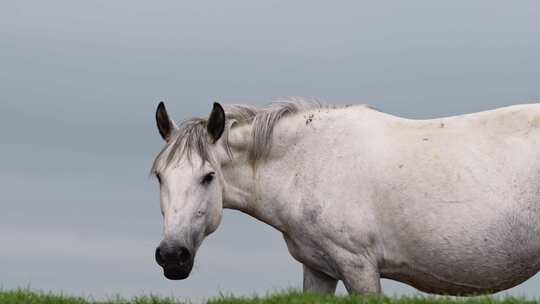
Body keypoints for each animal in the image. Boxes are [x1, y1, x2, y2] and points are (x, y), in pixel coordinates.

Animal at [150, 98, 540, 296]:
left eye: (208, 176)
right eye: (159, 176)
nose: (172, 256)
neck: (306, 161)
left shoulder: (359, 269)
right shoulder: (318, 270)